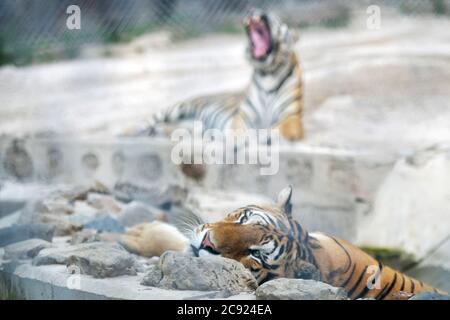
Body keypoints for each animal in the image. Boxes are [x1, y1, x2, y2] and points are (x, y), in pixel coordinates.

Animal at [144, 8, 306, 141]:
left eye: (273, 15)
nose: (253, 10)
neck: (267, 73)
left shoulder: (292, 118)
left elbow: (279, 129)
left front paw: (263, 135)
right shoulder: (243, 118)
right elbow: (239, 131)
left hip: (191, 126)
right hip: (177, 108)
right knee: (147, 122)